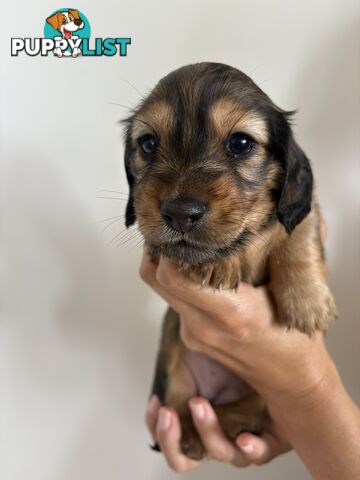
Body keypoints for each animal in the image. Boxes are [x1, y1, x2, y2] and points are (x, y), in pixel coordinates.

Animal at [122, 62, 336, 460]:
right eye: (148, 144)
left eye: (240, 143)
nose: (180, 213)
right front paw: (217, 262)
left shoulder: (303, 204)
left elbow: (297, 233)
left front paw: (308, 301)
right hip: (172, 363)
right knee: (181, 405)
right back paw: (190, 434)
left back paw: (236, 425)